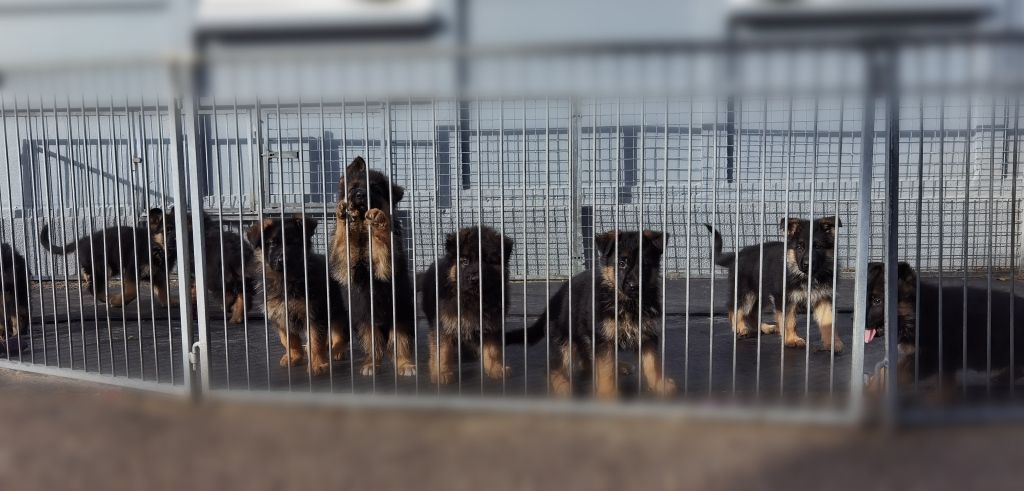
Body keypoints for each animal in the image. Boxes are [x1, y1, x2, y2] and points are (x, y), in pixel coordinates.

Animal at [40, 210, 174, 307]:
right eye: (166, 231)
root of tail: (83, 240)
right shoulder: (133, 269)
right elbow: (133, 291)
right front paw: (118, 301)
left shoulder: (159, 274)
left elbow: (164, 290)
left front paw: (171, 302)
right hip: (103, 267)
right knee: (93, 287)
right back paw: (106, 298)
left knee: (90, 278)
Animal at [333, 155, 417, 379]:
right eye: (354, 188)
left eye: (375, 189)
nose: (360, 195)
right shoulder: (346, 265)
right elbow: (344, 240)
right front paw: (346, 217)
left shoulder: (384, 265)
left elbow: (382, 241)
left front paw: (378, 220)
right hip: (364, 324)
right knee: (374, 348)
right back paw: (370, 364)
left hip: (401, 320)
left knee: (400, 346)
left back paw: (406, 365)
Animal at [415, 225, 512, 385]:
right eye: (465, 261)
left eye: (487, 261)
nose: (475, 279)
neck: (473, 297)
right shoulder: (444, 324)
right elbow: (442, 351)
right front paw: (442, 372)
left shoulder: (492, 324)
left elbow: (493, 350)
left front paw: (496, 369)